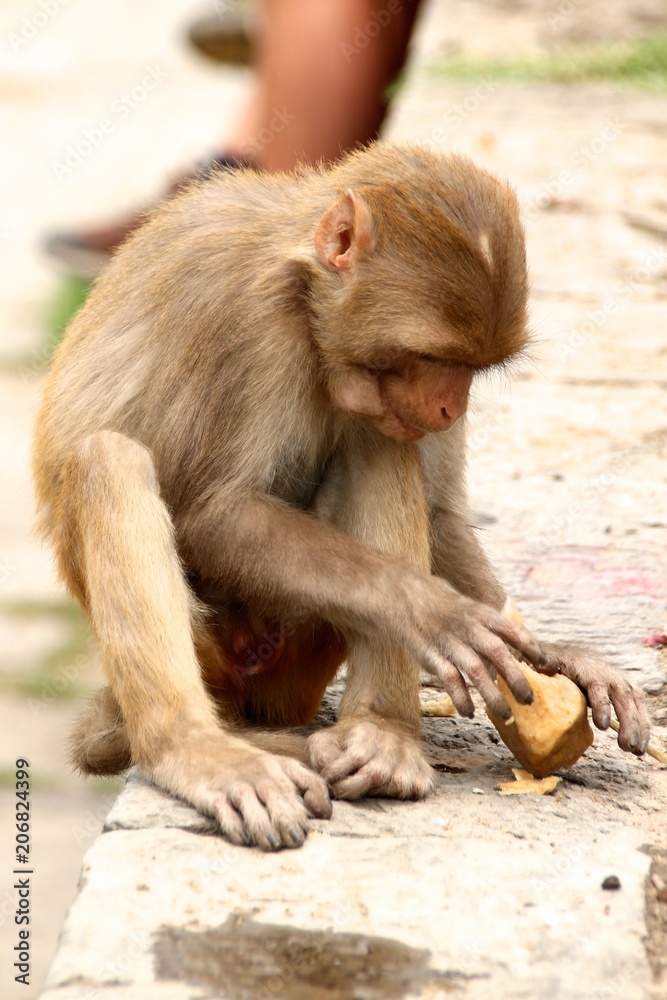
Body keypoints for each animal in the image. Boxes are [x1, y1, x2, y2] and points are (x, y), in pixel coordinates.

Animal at [34, 145, 648, 852]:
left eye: (469, 368)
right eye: (429, 355)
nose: (450, 406)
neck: (305, 303)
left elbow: (437, 512)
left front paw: (554, 654)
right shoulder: (243, 315)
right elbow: (206, 511)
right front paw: (429, 610)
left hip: (300, 652)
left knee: (375, 437)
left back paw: (382, 736)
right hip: (214, 649)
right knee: (107, 461)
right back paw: (195, 749)